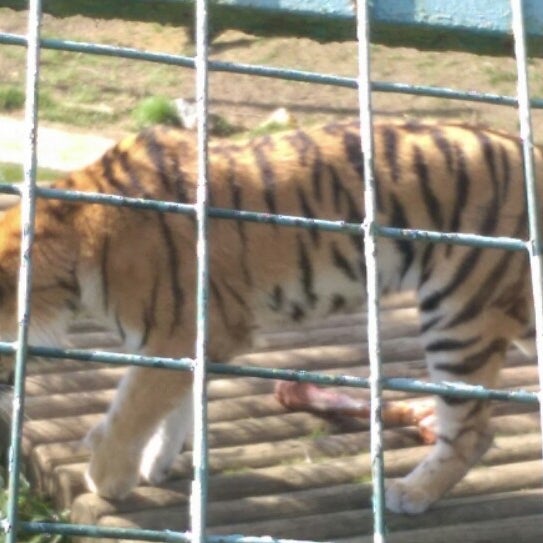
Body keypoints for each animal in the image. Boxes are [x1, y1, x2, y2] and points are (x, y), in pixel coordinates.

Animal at [0, 119, 536, 516]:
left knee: (473, 430)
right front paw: (157, 464)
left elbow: (134, 405)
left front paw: (107, 477)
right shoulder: (190, 337)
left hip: (459, 315)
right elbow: (176, 404)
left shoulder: (181, 331)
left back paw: (409, 493)